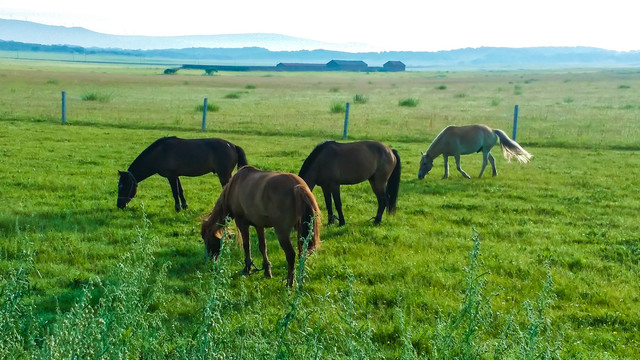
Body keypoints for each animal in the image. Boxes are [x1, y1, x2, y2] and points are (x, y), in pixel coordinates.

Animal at [115, 137, 248, 211]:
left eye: (122, 186)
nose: (119, 205)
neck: (159, 153)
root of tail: (233, 146)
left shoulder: (171, 176)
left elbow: (175, 192)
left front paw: (177, 208)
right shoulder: (176, 175)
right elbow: (181, 191)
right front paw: (184, 206)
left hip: (224, 175)